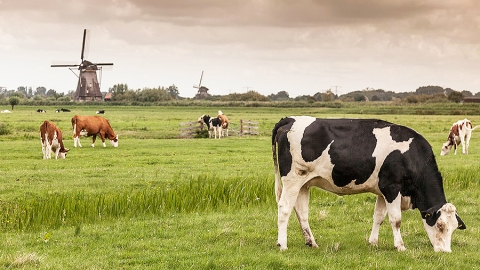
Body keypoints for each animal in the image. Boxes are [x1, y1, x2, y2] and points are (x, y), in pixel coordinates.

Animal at [274, 116, 464, 253]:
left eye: (454, 228)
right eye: (440, 225)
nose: (446, 252)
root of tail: (290, 119)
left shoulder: (382, 191)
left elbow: (378, 217)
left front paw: (373, 242)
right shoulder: (392, 188)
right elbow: (396, 219)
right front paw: (400, 246)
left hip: (304, 184)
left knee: (301, 212)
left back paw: (311, 243)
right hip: (292, 179)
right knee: (284, 208)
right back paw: (282, 245)